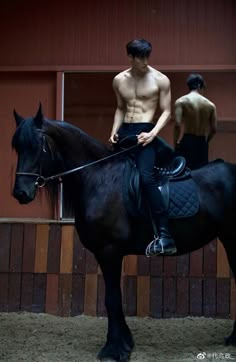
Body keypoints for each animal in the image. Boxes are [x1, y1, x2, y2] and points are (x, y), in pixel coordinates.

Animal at [12, 104, 236, 360]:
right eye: (17, 147)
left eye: (37, 145)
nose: (20, 193)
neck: (98, 178)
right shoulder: (105, 253)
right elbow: (114, 298)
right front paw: (125, 342)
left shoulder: (109, 251)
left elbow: (111, 298)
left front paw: (114, 348)